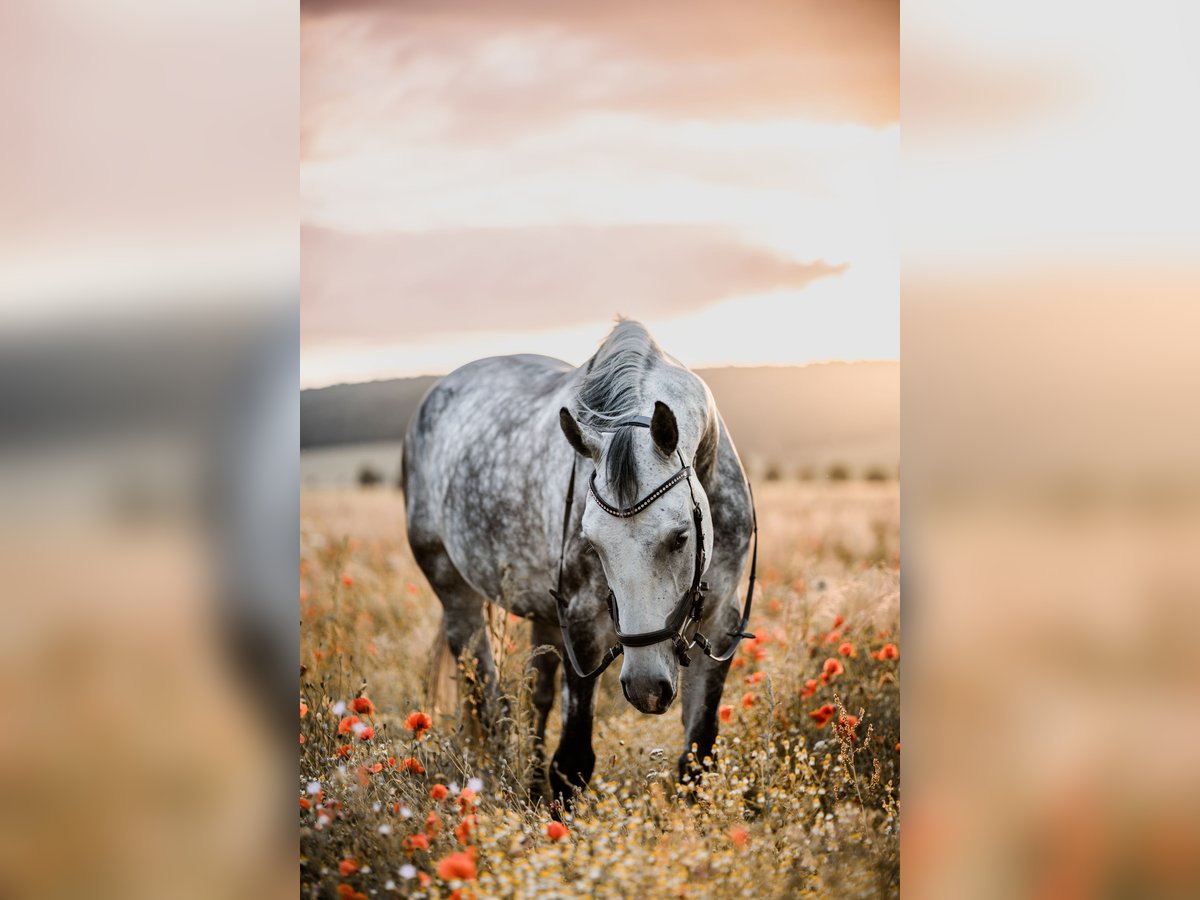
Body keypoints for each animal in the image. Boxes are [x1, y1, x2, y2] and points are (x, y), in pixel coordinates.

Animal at [408, 321, 753, 806]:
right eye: (592, 542)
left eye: (681, 536)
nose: (646, 688)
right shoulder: (584, 626)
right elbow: (572, 762)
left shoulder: (721, 621)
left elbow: (697, 758)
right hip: (457, 595)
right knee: (489, 700)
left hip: (546, 615)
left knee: (537, 692)